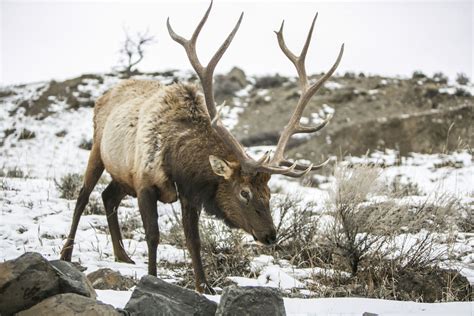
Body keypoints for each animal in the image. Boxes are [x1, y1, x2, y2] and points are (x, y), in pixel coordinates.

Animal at [59, 1, 342, 296]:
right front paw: (152, 278)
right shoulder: (145, 183)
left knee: (108, 196)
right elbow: (153, 235)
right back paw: (66, 253)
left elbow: (193, 239)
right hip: (98, 150)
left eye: (269, 193)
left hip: (123, 175)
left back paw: (122, 255)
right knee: (83, 196)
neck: (178, 160)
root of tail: (103, 96)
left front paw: (204, 286)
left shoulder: (188, 194)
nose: (270, 235)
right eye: (244, 192)